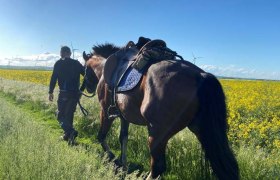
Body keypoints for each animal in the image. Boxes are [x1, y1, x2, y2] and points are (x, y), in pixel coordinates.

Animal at [82, 42, 240, 180]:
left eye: (84, 69)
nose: (87, 88)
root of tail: (201, 76)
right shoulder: (124, 116)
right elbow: (123, 139)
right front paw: (123, 164)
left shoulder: (105, 111)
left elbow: (101, 136)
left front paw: (113, 158)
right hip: (203, 131)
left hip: (157, 134)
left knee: (157, 167)